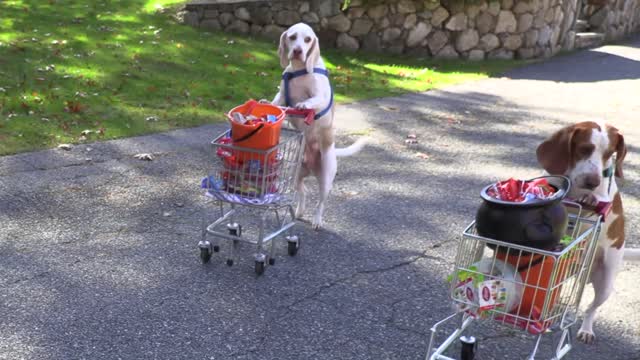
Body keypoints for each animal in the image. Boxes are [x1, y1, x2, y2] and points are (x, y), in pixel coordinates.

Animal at [266, 23, 364, 231]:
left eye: (308, 40)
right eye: (292, 37)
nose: (297, 51)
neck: (300, 70)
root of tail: (311, 167)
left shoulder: (321, 96)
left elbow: (313, 100)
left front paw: (304, 105)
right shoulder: (282, 95)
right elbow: (276, 102)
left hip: (326, 179)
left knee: (321, 202)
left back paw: (317, 220)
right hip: (295, 176)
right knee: (303, 192)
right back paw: (299, 211)